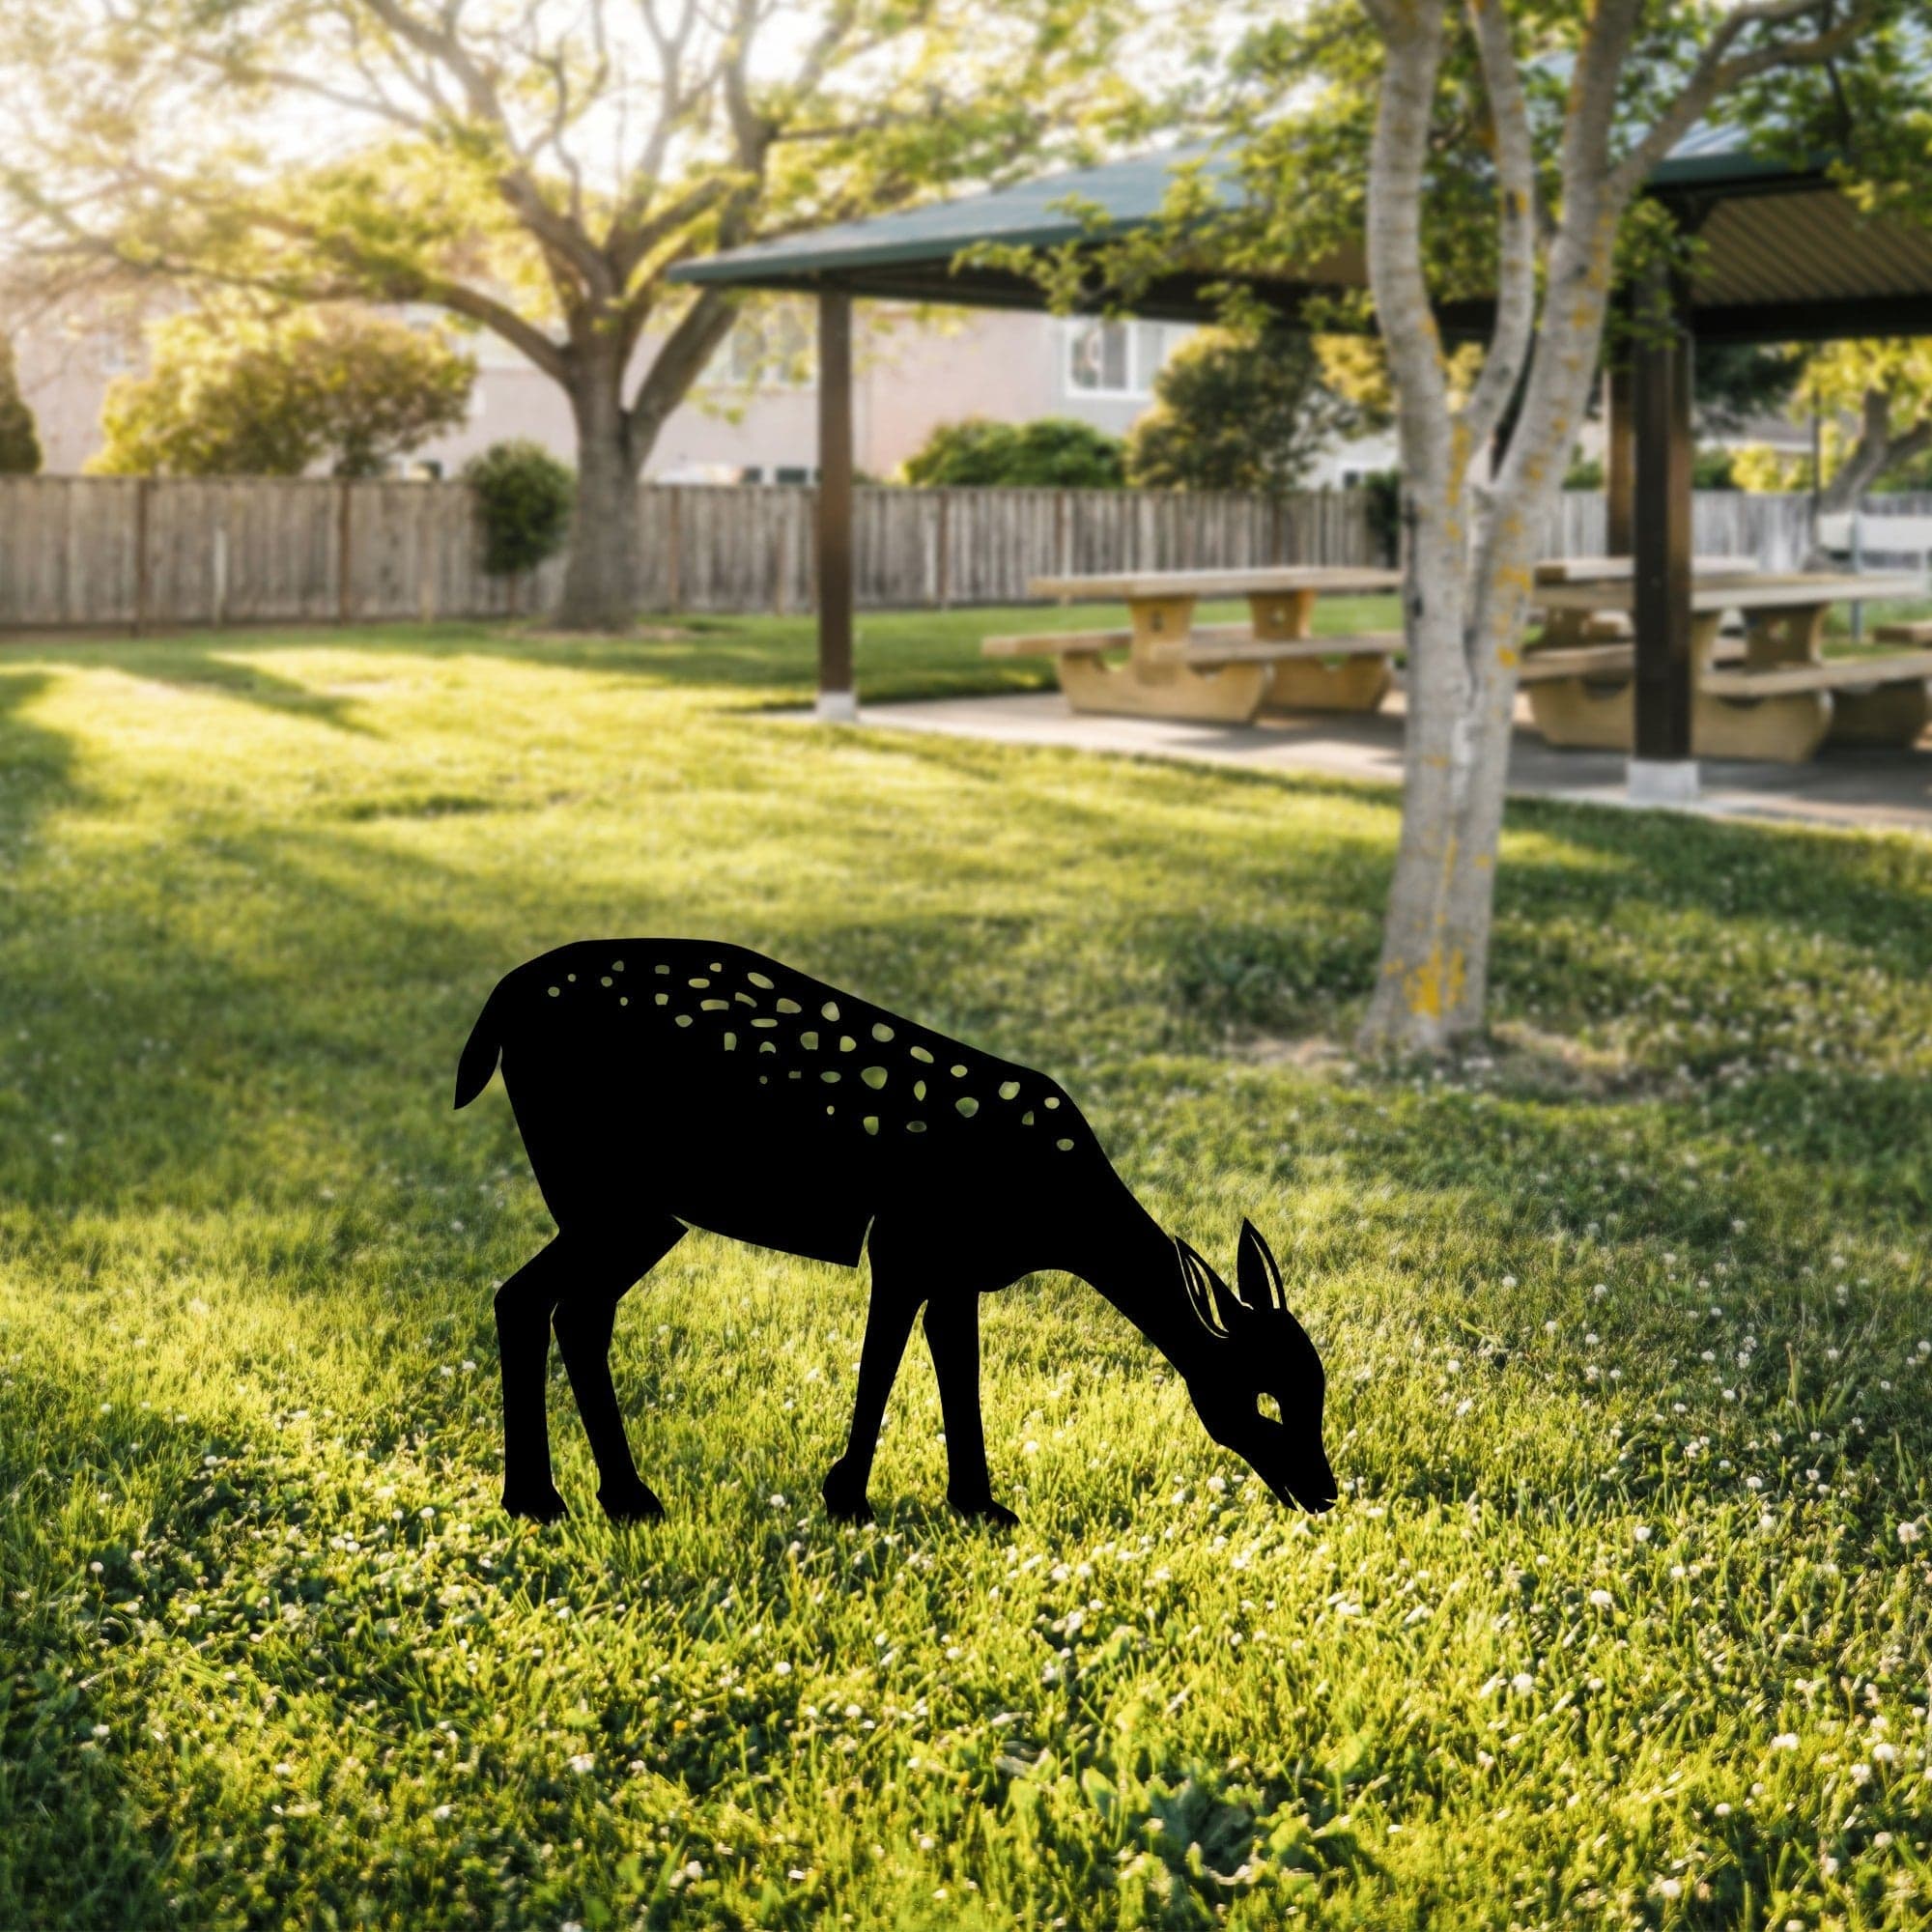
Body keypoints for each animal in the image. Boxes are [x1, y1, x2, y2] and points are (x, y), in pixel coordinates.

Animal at [455, 939, 1335, 1525]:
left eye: (1318, 1391)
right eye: (1264, 1395)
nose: (1325, 1492)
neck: (1055, 1213)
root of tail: (495, 1009)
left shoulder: (957, 1265)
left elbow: (955, 1365)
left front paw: (979, 1506)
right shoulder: (906, 1240)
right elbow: (883, 1360)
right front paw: (847, 1498)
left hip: (637, 1210)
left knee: (572, 1310)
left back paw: (616, 1498)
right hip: (605, 1188)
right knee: (528, 1298)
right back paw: (544, 1500)